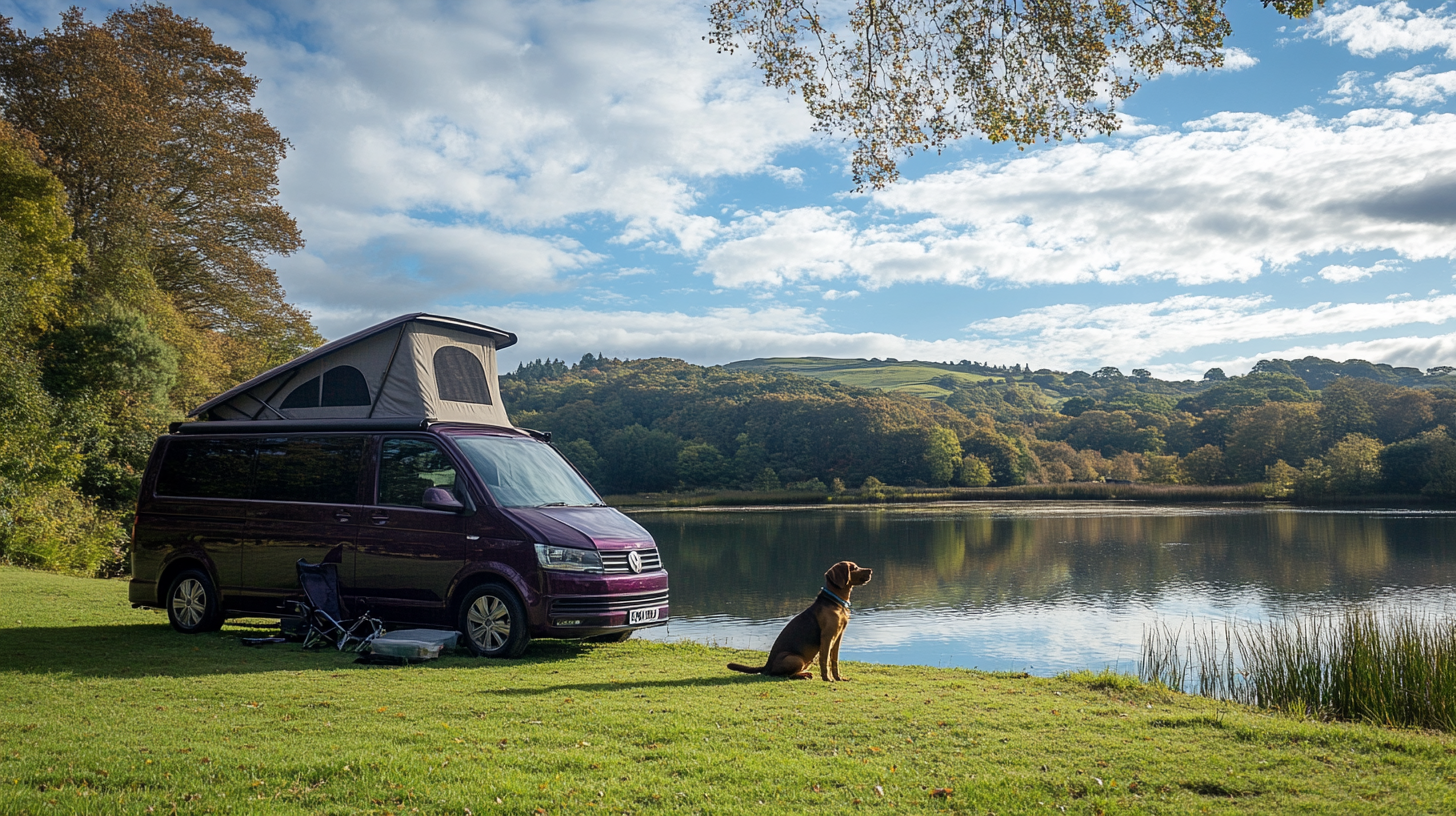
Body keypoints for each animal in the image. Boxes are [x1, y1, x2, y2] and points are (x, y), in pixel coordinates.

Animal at [722, 559, 867, 681]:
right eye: (854, 568)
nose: (870, 570)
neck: (835, 602)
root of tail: (766, 666)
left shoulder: (838, 637)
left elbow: (834, 660)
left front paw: (838, 678)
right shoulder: (827, 637)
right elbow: (825, 660)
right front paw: (827, 679)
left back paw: (805, 674)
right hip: (796, 659)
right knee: (783, 675)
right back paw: (802, 676)